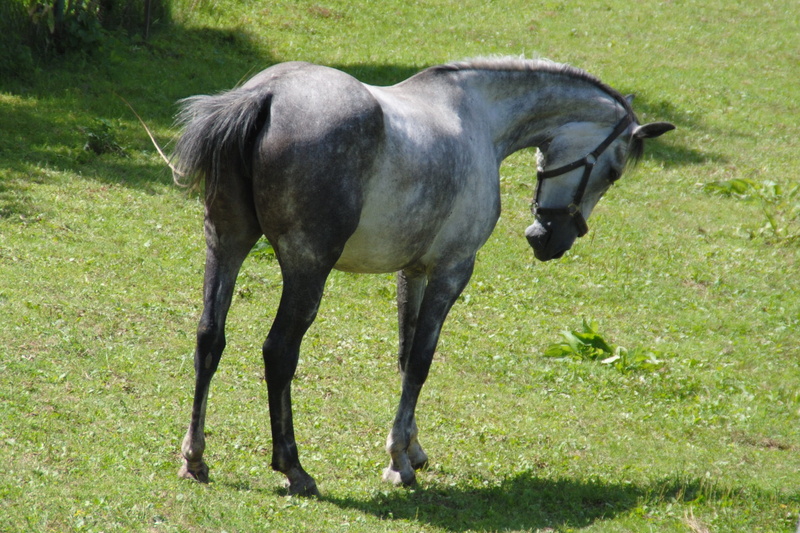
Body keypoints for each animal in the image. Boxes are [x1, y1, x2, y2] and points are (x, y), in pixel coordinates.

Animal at [172, 57, 674, 496]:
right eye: (613, 171)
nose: (550, 240)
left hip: (227, 243)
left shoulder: (411, 271)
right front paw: (398, 462)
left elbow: (403, 353)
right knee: (279, 352)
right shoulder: (452, 271)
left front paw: (412, 447)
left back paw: (195, 458)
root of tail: (268, 93)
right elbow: (420, 361)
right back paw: (294, 469)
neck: (477, 118)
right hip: (307, 268)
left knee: (209, 337)